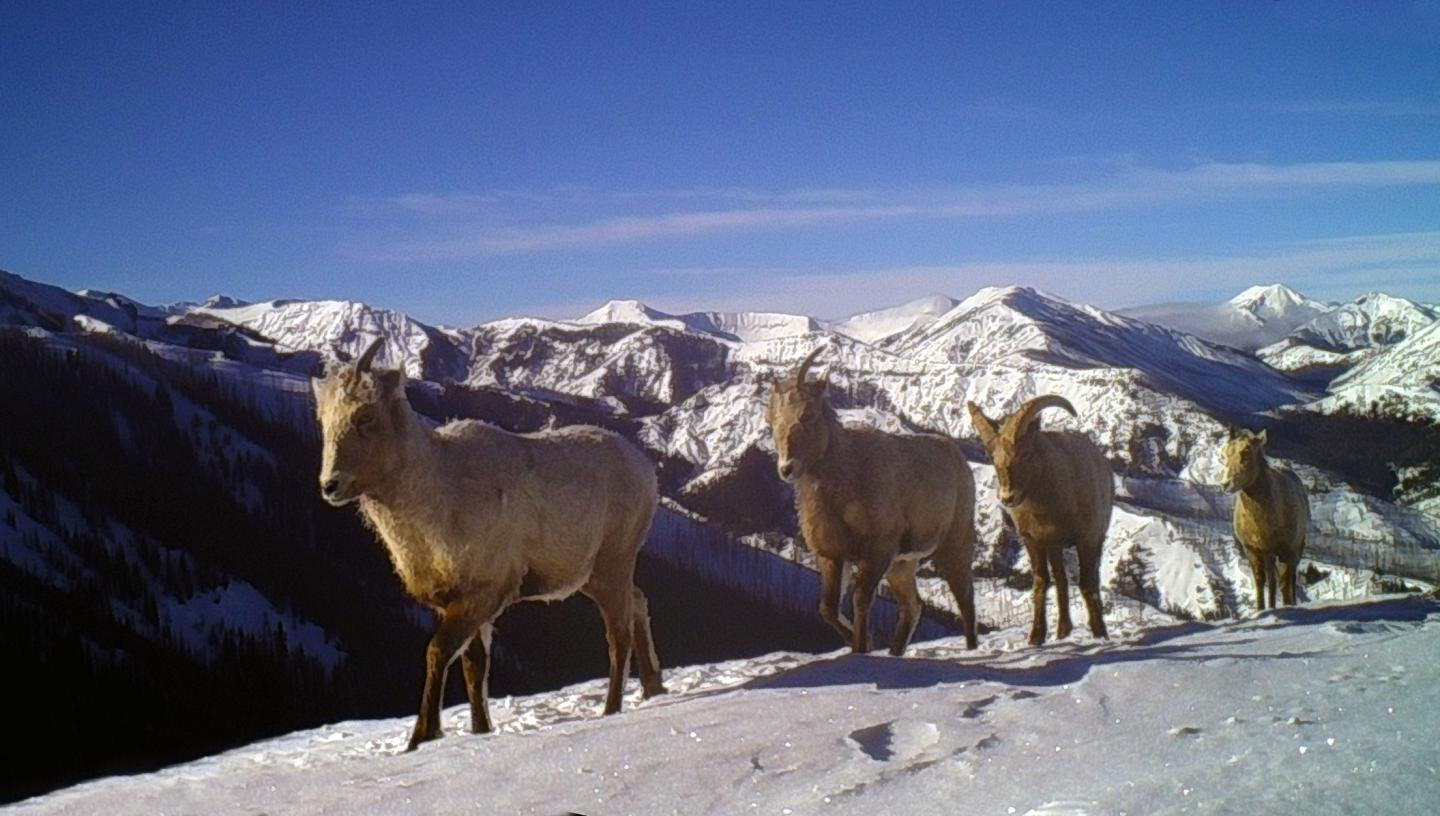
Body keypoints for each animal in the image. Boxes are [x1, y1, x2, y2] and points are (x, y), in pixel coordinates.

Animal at [312, 338, 665, 751]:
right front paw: (480, 729)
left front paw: (422, 737)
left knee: (618, 634)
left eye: (366, 416)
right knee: (639, 602)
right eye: (324, 420)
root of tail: (646, 470)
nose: (330, 485)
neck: (439, 502)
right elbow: (474, 666)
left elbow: (438, 653)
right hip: (593, 576)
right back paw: (653, 688)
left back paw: (612, 709)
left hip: (613, 563)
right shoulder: (460, 602)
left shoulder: (484, 592)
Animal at [767, 347, 979, 654]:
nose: (786, 468)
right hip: (903, 565)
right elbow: (827, 608)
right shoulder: (833, 556)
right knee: (914, 605)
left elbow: (861, 601)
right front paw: (864, 645)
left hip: (953, 544)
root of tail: (959, 459)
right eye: (771, 420)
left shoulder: (877, 552)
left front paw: (863, 648)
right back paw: (894, 652)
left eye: (807, 414)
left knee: (964, 597)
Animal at [967, 396, 1114, 646]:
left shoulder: (1087, 539)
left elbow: (1087, 583)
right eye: (992, 458)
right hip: (1055, 547)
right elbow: (1041, 581)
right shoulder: (1034, 541)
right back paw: (1062, 632)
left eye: (1025, 453)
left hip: (1094, 540)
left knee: (1088, 578)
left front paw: (1099, 633)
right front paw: (1036, 637)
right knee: (1061, 580)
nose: (1008, 497)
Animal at [1221, 428, 1309, 609]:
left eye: (1245, 454)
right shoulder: (1254, 550)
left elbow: (1281, 584)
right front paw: (1261, 609)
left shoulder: (1283, 550)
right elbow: (1261, 581)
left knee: (1289, 580)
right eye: (1225, 454)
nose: (1225, 484)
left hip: (1295, 549)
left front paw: (1283, 607)